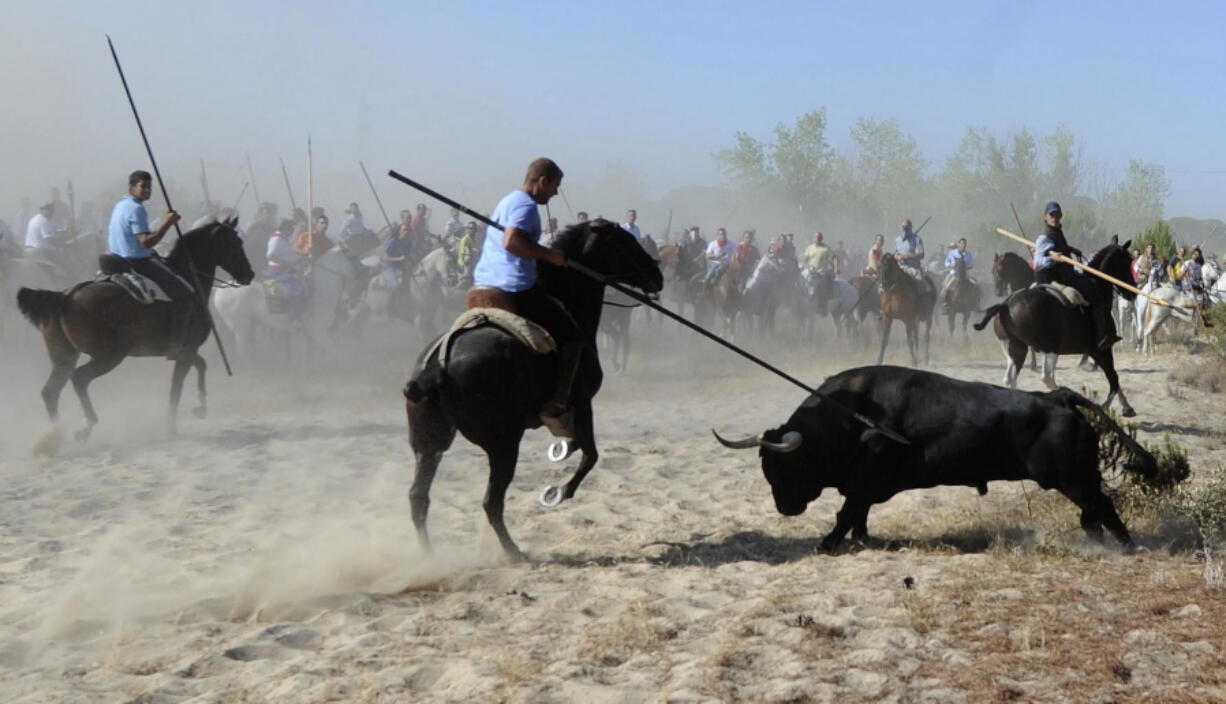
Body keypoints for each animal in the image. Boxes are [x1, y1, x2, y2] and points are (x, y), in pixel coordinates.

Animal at [15, 218, 253, 443]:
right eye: (237, 242)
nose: (249, 274)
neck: (189, 278)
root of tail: (64, 297)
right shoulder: (186, 351)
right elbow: (176, 390)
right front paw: (173, 426)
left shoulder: (185, 352)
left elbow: (201, 366)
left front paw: (199, 407)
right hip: (108, 356)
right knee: (79, 379)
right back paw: (85, 427)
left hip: (64, 357)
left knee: (50, 392)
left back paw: (56, 436)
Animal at [213, 250, 357, 363]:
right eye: (350, 258)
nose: (359, 272)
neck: (319, 290)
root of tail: (219, 289)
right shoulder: (319, 332)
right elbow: (336, 352)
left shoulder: (305, 335)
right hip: (241, 328)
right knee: (243, 350)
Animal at [715, 367, 1152, 554]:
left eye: (784, 467)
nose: (784, 508)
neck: (850, 416)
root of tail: (1056, 397)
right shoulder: (865, 487)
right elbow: (858, 513)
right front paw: (861, 537)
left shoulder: (864, 480)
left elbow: (846, 512)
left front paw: (828, 543)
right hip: (1078, 479)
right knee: (1093, 510)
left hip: (1074, 478)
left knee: (1103, 506)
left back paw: (1125, 546)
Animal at [975, 242, 1137, 419]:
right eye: (1127, 262)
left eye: (998, 269)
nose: (1133, 291)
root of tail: (1005, 305)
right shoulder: (1102, 350)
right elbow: (1113, 378)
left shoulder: (1097, 351)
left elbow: (1114, 378)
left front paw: (1127, 406)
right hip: (1050, 349)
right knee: (1047, 378)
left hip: (1016, 349)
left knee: (1010, 379)